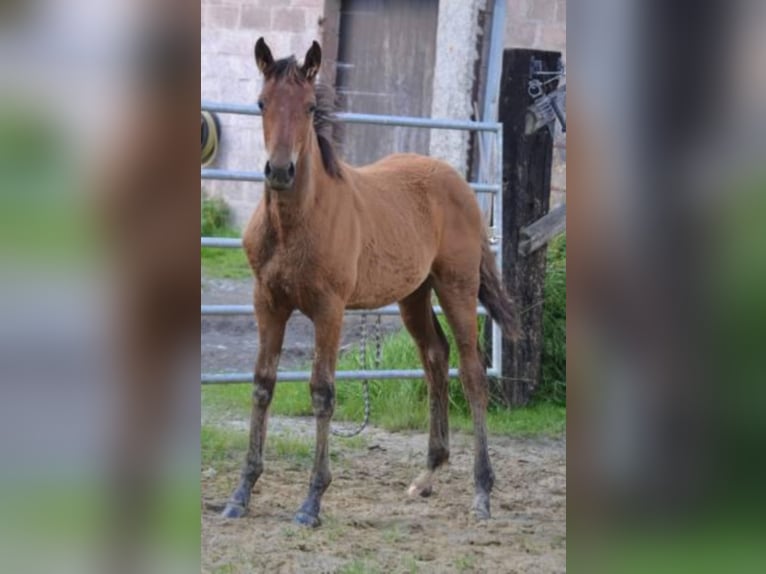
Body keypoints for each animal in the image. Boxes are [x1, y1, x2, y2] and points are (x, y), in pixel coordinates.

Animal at [222, 38, 520, 528]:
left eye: (309, 107)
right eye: (261, 102)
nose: (280, 171)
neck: (294, 222)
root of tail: (458, 183)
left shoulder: (329, 309)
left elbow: (322, 391)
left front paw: (312, 501)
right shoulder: (267, 303)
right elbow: (262, 385)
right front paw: (241, 494)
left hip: (456, 287)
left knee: (472, 372)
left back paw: (482, 493)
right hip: (413, 295)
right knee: (435, 357)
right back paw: (427, 475)